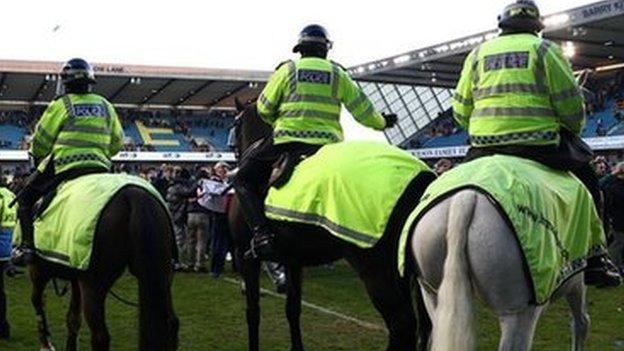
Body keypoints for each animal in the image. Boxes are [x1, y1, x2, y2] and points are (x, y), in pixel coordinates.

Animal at [28, 186, 179, 350]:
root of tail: (133, 194)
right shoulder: (75, 273)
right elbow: (73, 318)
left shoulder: (39, 269)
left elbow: (37, 301)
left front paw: (46, 344)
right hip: (163, 274)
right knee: (172, 323)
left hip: (93, 285)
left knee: (100, 336)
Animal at [229, 99, 434, 351]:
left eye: (235, 124)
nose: (232, 150)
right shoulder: (293, 261)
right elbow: (292, 309)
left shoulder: (247, 258)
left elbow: (253, 313)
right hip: (401, 270)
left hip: (373, 266)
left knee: (401, 324)